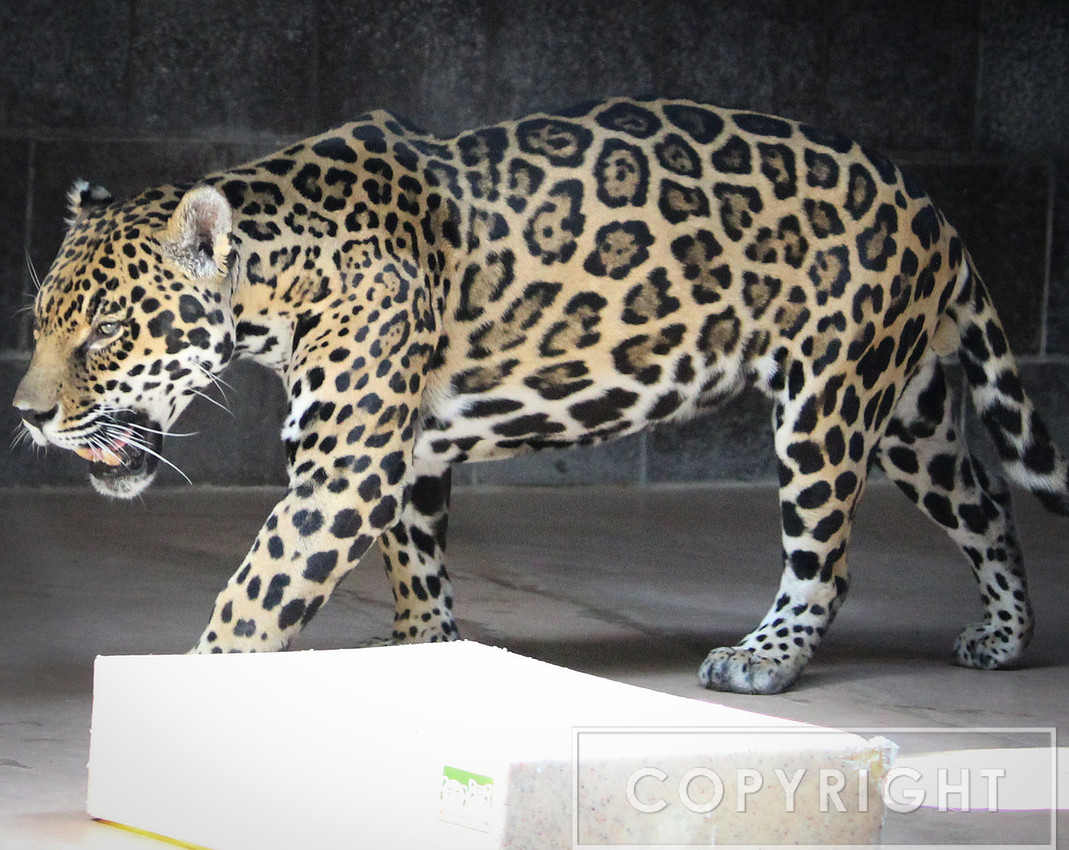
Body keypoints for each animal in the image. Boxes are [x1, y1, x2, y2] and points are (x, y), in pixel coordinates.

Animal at [13, 98, 1069, 694]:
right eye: (40, 321)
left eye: (106, 331)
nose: (26, 416)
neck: (277, 283)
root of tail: (927, 200)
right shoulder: (407, 456)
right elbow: (416, 570)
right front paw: (426, 649)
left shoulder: (344, 471)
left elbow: (253, 595)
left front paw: (190, 693)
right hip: (907, 412)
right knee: (984, 497)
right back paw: (1003, 636)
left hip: (825, 402)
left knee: (826, 558)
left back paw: (763, 657)